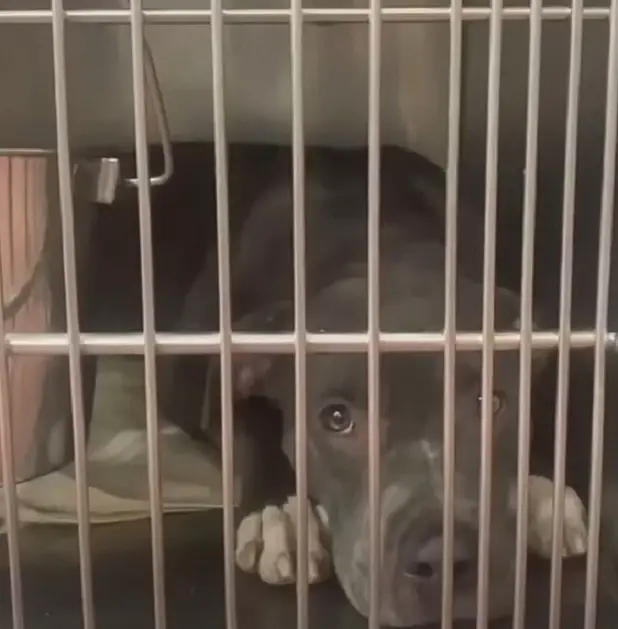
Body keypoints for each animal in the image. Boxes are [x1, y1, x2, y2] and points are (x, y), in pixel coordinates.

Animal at [156, 146, 584, 624]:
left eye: (491, 402)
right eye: (336, 418)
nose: (443, 557)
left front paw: (542, 488)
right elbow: (251, 424)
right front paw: (280, 515)